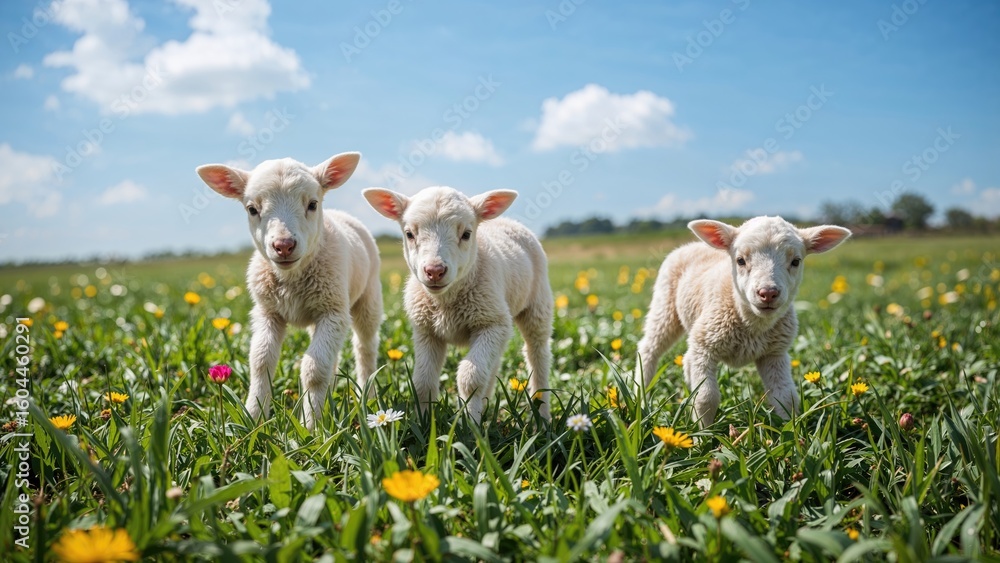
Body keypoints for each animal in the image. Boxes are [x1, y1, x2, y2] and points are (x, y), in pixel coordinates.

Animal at [195, 153, 383, 431]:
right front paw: (254, 419)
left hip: (367, 297)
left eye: (312, 204)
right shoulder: (268, 312)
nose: (283, 245)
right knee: (333, 358)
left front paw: (311, 426)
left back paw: (368, 395)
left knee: (365, 347)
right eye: (252, 209)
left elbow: (313, 370)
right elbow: (260, 361)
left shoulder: (333, 311)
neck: (292, 278)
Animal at [363, 186, 553, 423]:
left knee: (537, 353)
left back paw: (541, 415)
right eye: (409, 234)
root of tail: (508, 221)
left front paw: (469, 423)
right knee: (495, 364)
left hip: (537, 305)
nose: (434, 271)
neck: (445, 302)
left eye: (466, 234)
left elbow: (470, 378)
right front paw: (423, 422)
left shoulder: (491, 323)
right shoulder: (426, 330)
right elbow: (422, 382)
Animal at [635, 216, 851, 427]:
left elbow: (786, 397)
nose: (768, 293)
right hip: (665, 304)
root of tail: (692, 244)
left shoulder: (775, 353)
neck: (752, 325)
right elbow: (706, 397)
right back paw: (641, 394)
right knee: (649, 348)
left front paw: (789, 431)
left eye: (796, 261)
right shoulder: (704, 346)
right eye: (740, 260)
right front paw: (704, 433)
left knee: (687, 358)